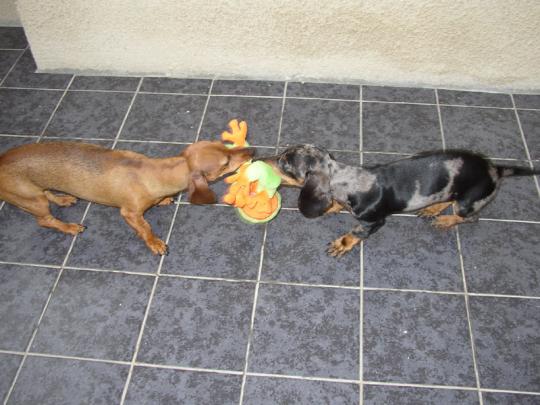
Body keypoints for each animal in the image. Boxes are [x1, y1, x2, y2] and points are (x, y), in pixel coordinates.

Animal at [0, 141, 253, 255]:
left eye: (225, 145)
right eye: (225, 164)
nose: (253, 151)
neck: (154, 173)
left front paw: (163, 200)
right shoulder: (130, 213)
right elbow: (145, 228)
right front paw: (155, 243)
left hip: (38, 191)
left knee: (47, 194)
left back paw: (63, 199)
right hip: (32, 200)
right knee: (44, 220)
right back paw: (69, 227)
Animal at [261, 145, 539, 257]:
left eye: (285, 164)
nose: (261, 159)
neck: (348, 180)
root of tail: (496, 169)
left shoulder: (373, 222)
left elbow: (355, 233)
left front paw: (342, 243)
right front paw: (333, 207)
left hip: (468, 202)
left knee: (470, 217)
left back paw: (445, 219)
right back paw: (435, 207)